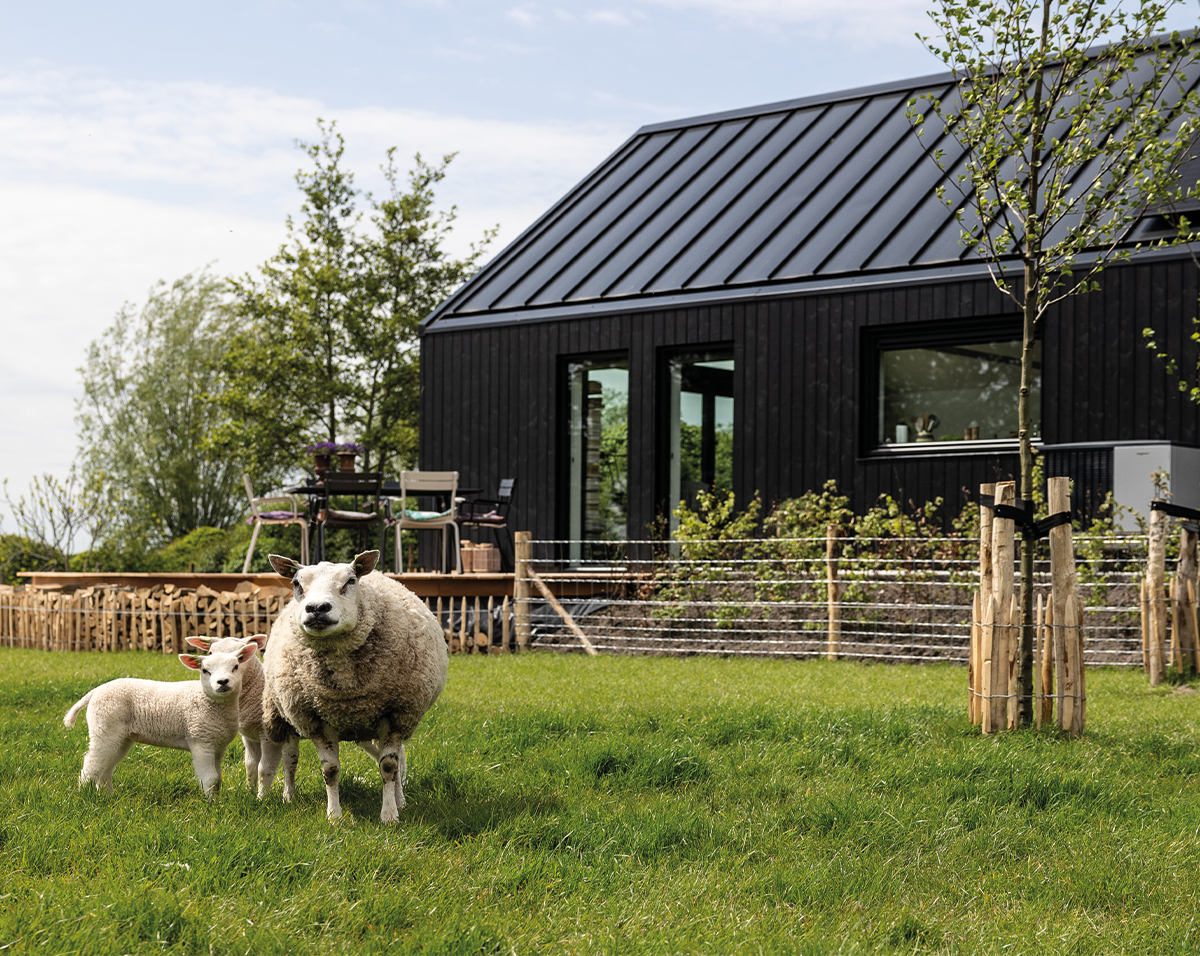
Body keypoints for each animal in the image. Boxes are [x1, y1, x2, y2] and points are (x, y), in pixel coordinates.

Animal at [63, 642, 260, 796]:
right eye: (205, 670)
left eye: (235, 667)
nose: (223, 682)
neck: (209, 701)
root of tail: (96, 690)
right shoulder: (200, 741)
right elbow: (210, 779)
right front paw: (210, 806)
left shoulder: (218, 745)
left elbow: (218, 779)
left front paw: (216, 801)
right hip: (104, 728)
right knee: (92, 763)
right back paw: (85, 796)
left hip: (120, 737)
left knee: (106, 768)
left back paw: (108, 796)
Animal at [262, 549, 451, 825]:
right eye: (296, 583)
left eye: (350, 581)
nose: (317, 608)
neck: (347, 690)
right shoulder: (316, 721)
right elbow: (330, 770)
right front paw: (334, 817)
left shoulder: (397, 716)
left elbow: (389, 766)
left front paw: (390, 815)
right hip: (286, 717)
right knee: (290, 758)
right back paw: (289, 796)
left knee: (396, 758)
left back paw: (400, 799)